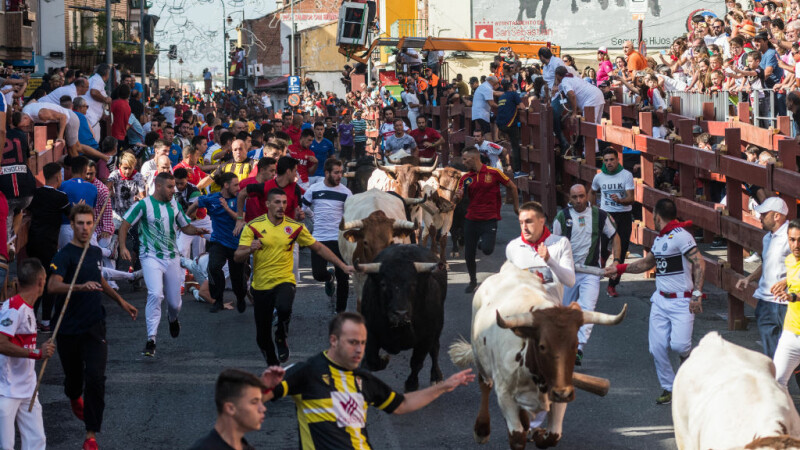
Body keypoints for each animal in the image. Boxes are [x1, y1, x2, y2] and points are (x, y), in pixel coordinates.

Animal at [360, 244, 446, 392]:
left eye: (413, 284)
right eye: (383, 284)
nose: (400, 313)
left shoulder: (426, 338)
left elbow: (417, 362)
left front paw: (411, 384)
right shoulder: (370, 332)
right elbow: (372, 359)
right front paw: (383, 360)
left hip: (437, 330)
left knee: (435, 350)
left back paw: (436, 377)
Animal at [450, 262, 624, 448]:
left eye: (576, 344)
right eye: (542, 346)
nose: (563, 393)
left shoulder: (560, 390)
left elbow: (553, 435)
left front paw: (539, 434)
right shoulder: (504, 394)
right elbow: (517, 438)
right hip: (480, 359)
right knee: (484, 384)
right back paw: (482, 430)